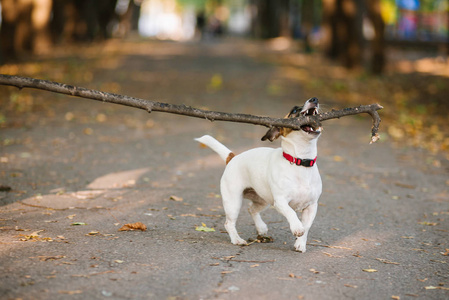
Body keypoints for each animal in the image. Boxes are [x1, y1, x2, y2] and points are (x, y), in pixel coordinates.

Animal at [196, 98, 322, 251]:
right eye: (294, 110)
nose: (314, 99)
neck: (300, 162)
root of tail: (233, 157)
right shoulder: (280, 202)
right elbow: (292, 213)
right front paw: (297, 227)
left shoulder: (312, 206)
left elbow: (307, 226)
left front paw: (300, 244)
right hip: (233, 202)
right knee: (229, 223)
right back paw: (237, 239)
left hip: (263, 200)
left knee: (251, 209)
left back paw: (261, 228)